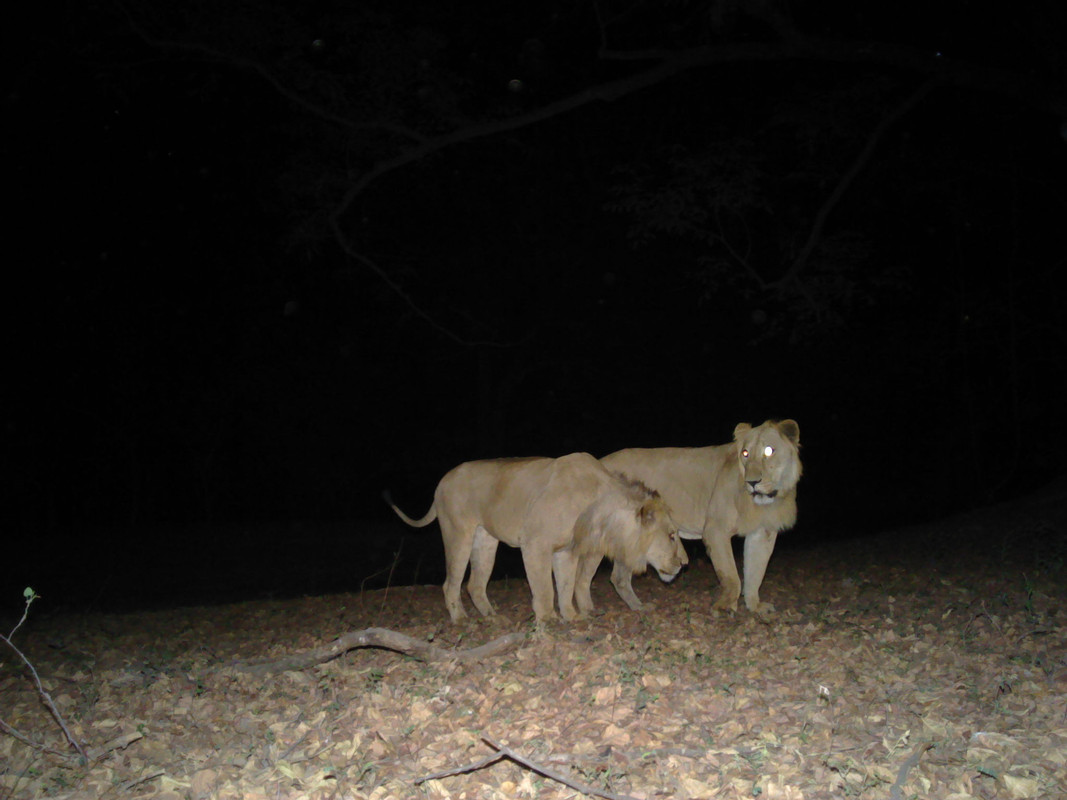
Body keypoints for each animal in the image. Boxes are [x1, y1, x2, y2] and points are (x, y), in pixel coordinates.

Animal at [386, 452, 688, 622]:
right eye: (672, 535)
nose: (685, 563)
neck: (601, 507)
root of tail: (443, 480)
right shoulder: (535, 544)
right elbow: (544, 588)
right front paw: (547, 620)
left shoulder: (566, 550)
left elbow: (565, 585)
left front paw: (572, 617)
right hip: (458, 533)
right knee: (451, 583)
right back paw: (460, 618)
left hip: (485, 541)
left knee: (474, 584)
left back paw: (492, 617)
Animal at [601, 419, 801, 614]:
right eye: (745, 453)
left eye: (769, 451)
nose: (752, 482)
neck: (764, 501)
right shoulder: (716, 529)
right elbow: (730, 575)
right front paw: (725, 607)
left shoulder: (762, 532)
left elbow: (756, 573)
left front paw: (755, 606)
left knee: (618, 577)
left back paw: (639, 607)